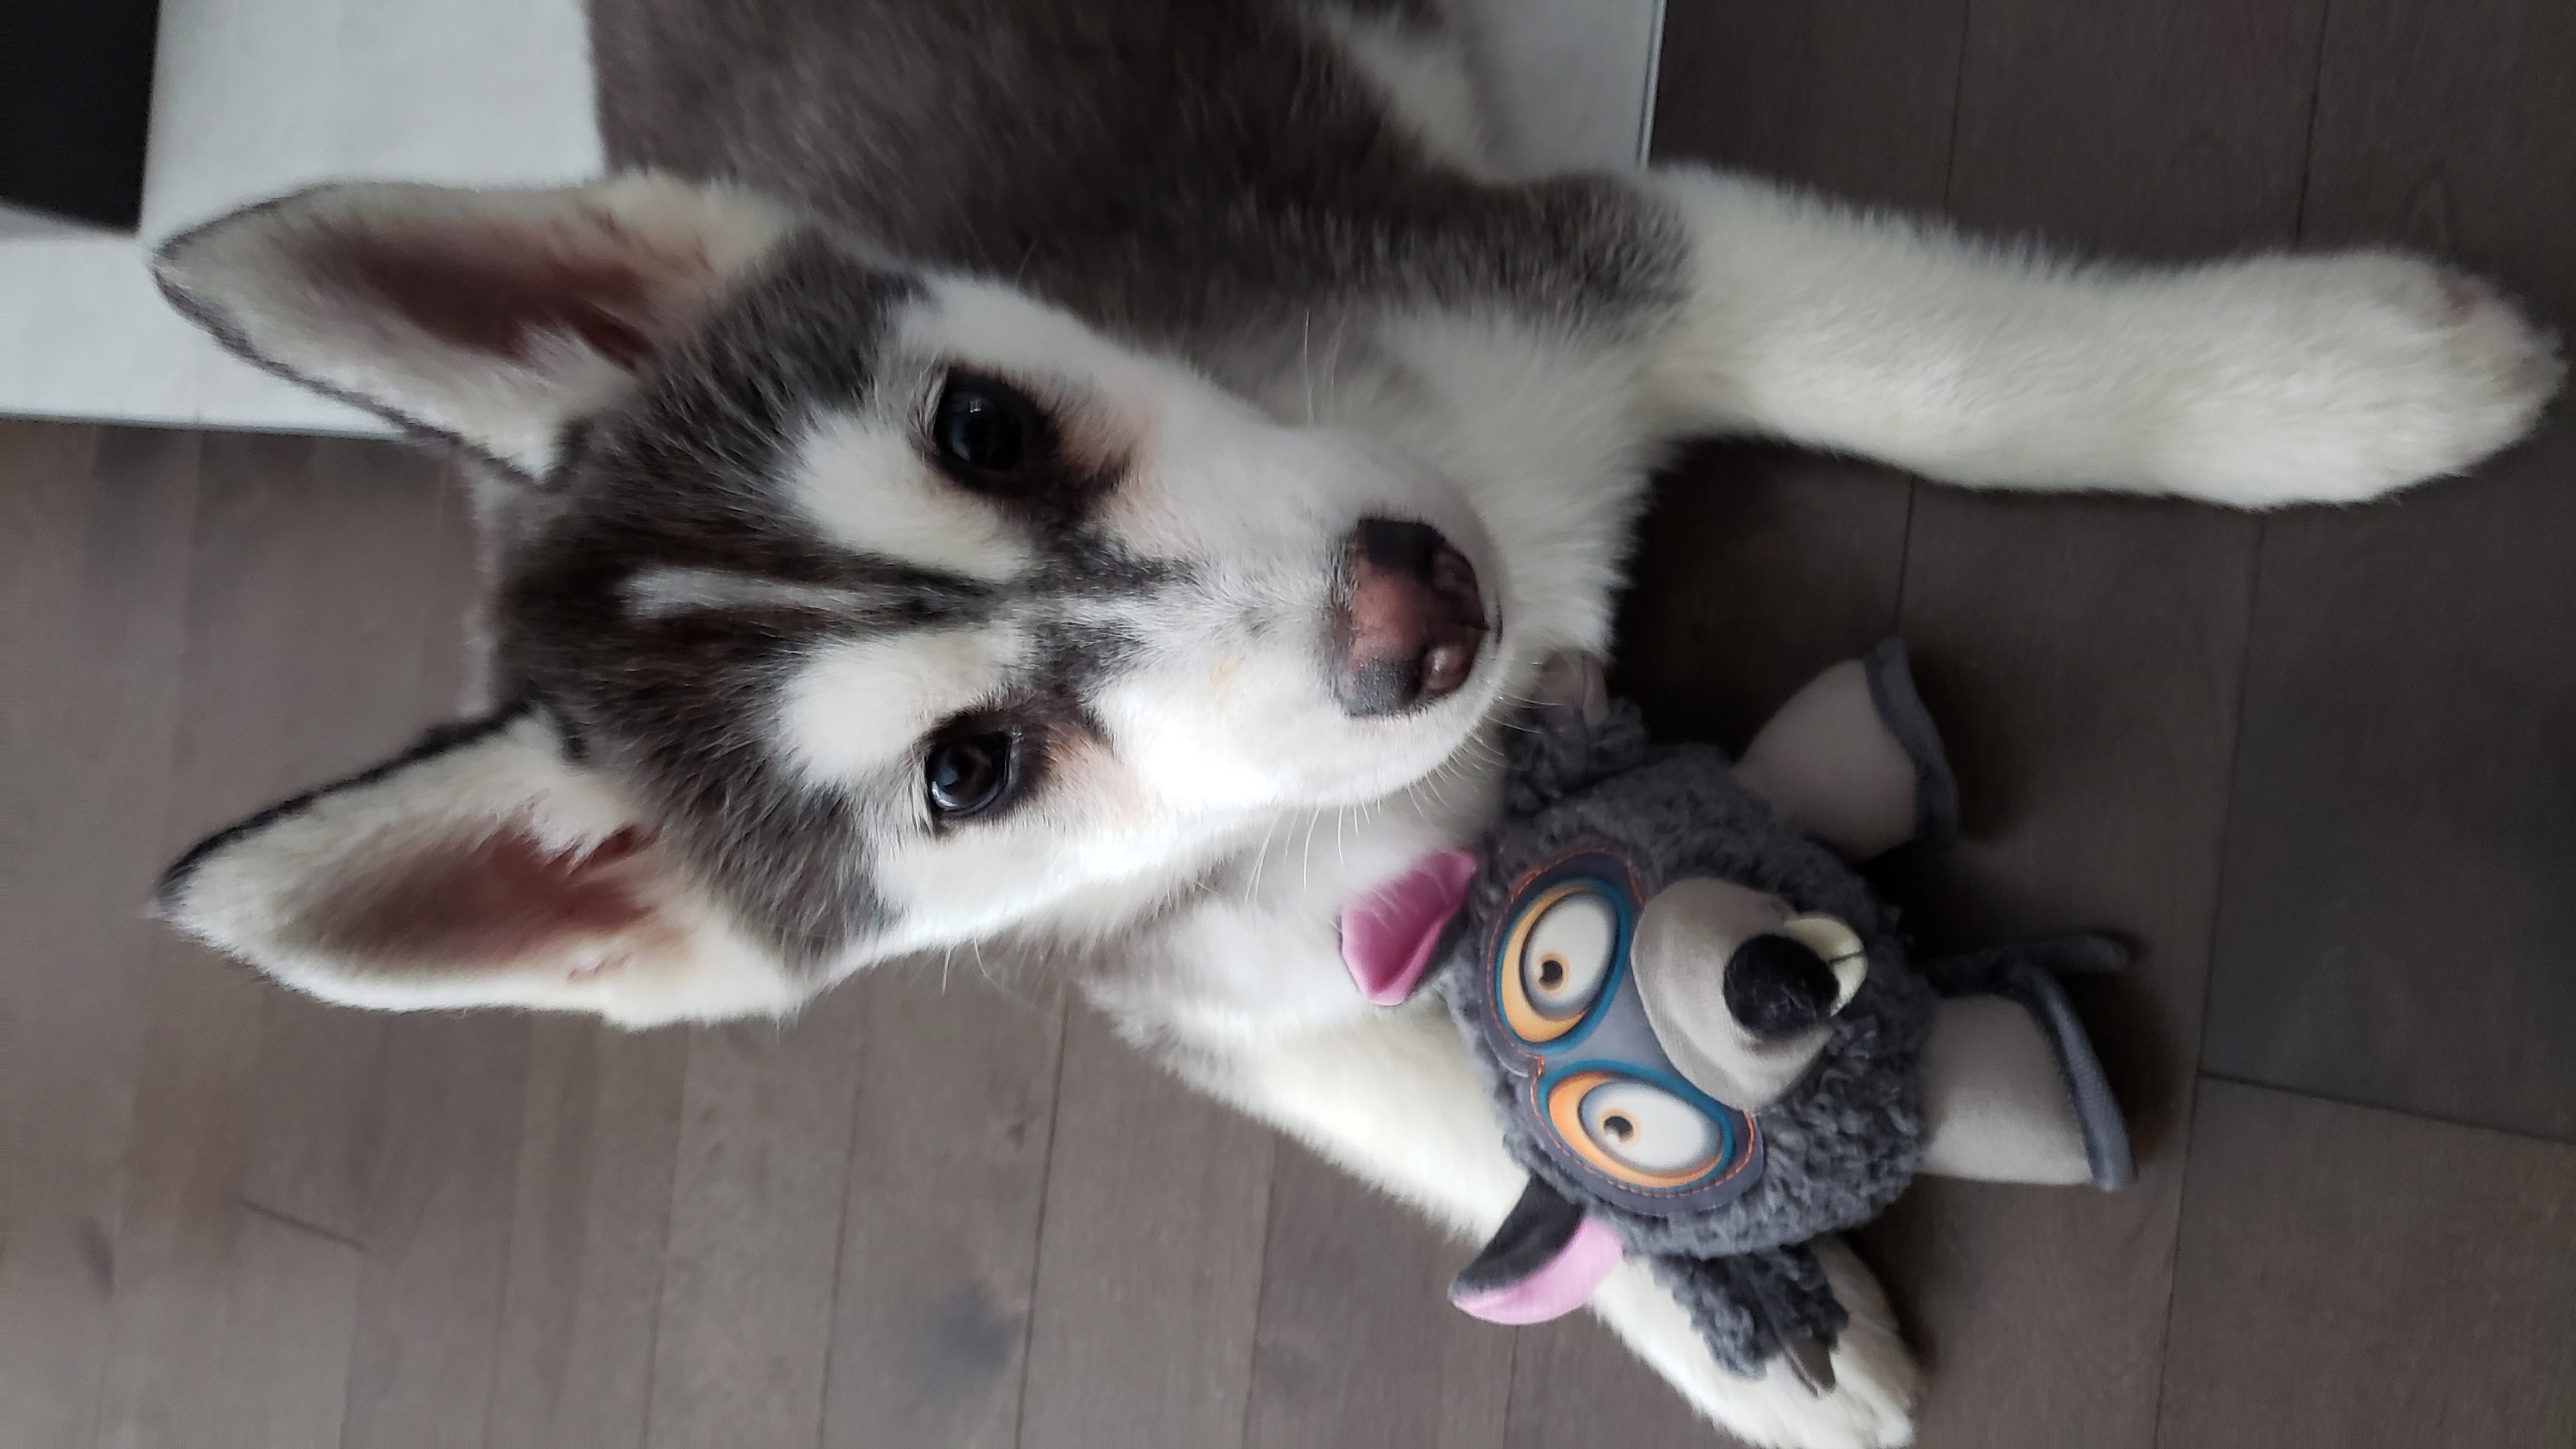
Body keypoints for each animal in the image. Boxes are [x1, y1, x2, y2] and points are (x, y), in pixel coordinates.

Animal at [145, 1, 2558, 1442]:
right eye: (968, 771)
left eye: (983, 420)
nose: (1421, 606)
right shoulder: (1204, 969)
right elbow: (1457, 1115)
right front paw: (1747, 1330)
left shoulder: (1570, 269)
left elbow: (1965, 371)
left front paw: (2331, 386)